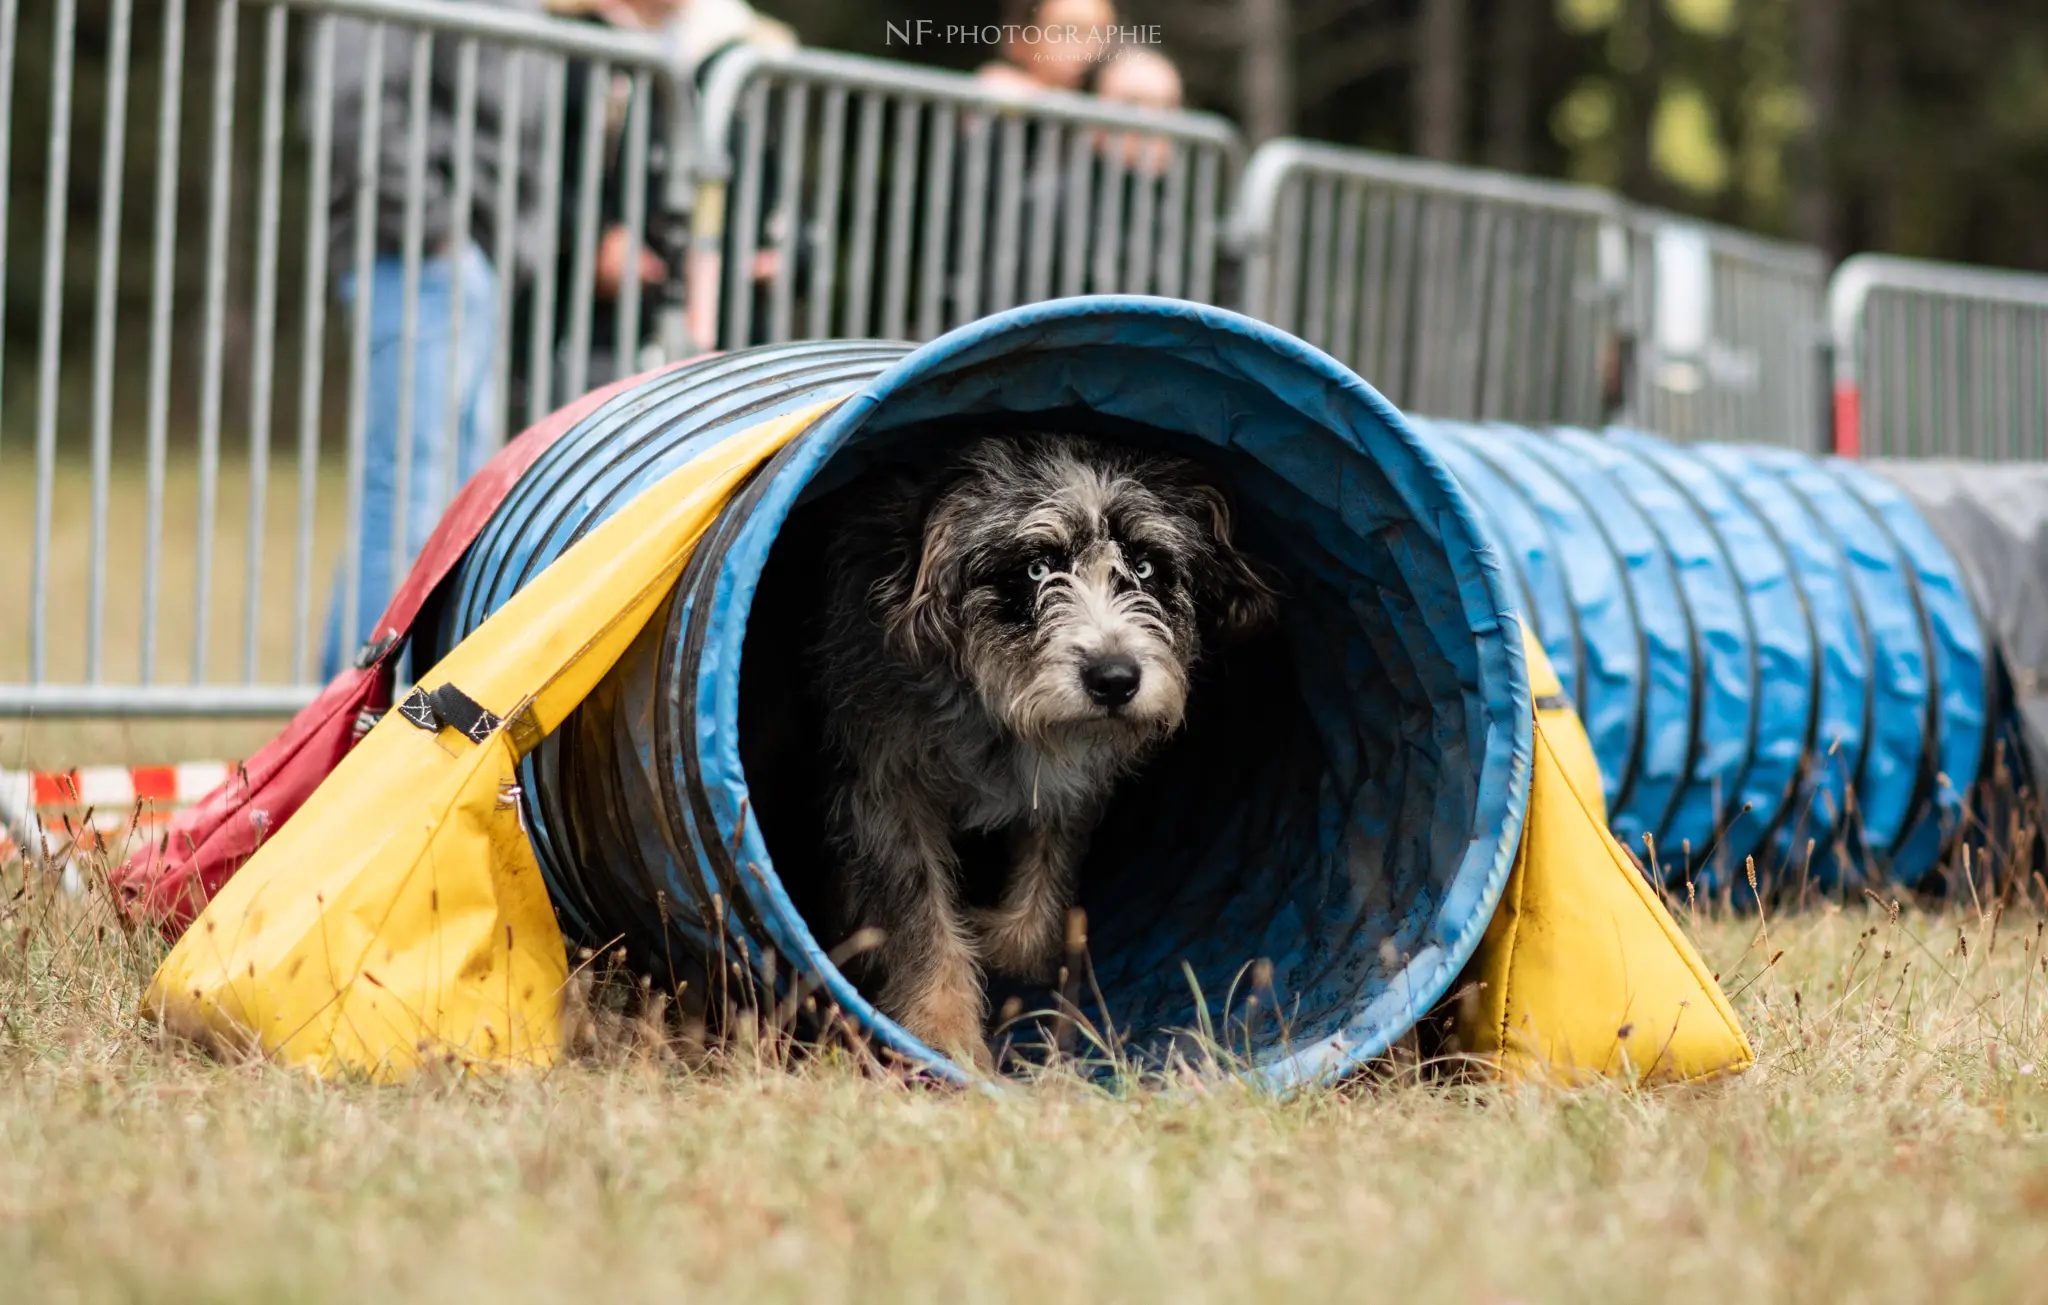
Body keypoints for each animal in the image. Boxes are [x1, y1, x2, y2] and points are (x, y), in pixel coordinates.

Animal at [806, 432, 1269, 1065]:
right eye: (1036, 567)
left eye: (1145, 566)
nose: (1115, 679)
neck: (992, 713)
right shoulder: (886, 792)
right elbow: (922, 919)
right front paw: (944, 1034)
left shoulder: (1068, 787)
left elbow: (1033, 923)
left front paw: (984, 936)